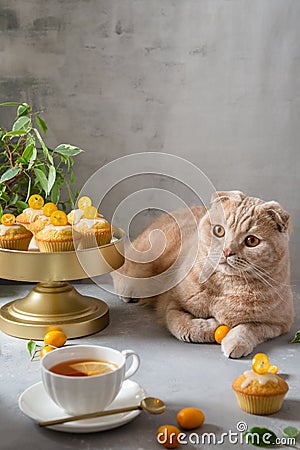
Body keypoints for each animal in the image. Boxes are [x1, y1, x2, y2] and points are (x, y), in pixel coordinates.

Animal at [113, 191, 296, 358]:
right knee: (121, 274)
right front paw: (212, 326)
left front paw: (235, 342)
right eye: (219, 230)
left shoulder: (278, 323)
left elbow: (250, 328)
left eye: (252, 241)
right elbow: (182, 326)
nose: (227, 251)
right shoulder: (171, 305)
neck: (227, 286)